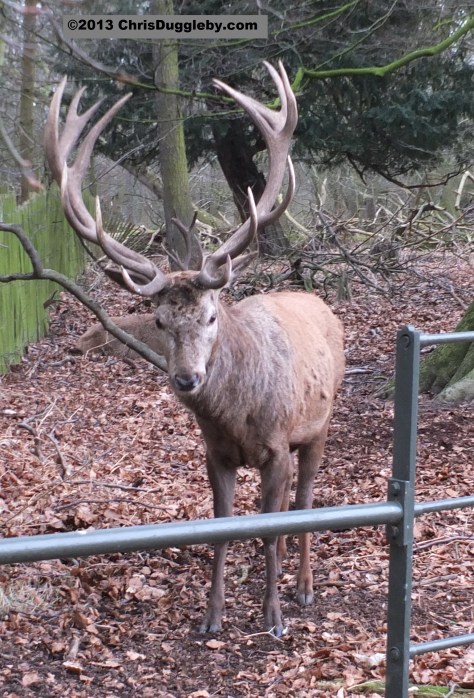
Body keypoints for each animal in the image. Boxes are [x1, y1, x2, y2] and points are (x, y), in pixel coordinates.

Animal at [44, 62, 345, 637]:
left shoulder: (278, 446)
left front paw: (272, 617)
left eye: (210, 315)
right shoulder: (215, 454)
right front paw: (212, 616)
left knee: (304, 501)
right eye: (160, 321)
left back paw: (302, 587)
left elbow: (272, 524)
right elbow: (221, 527)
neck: (237, 417)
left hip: (318, 426)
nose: (186, 380)